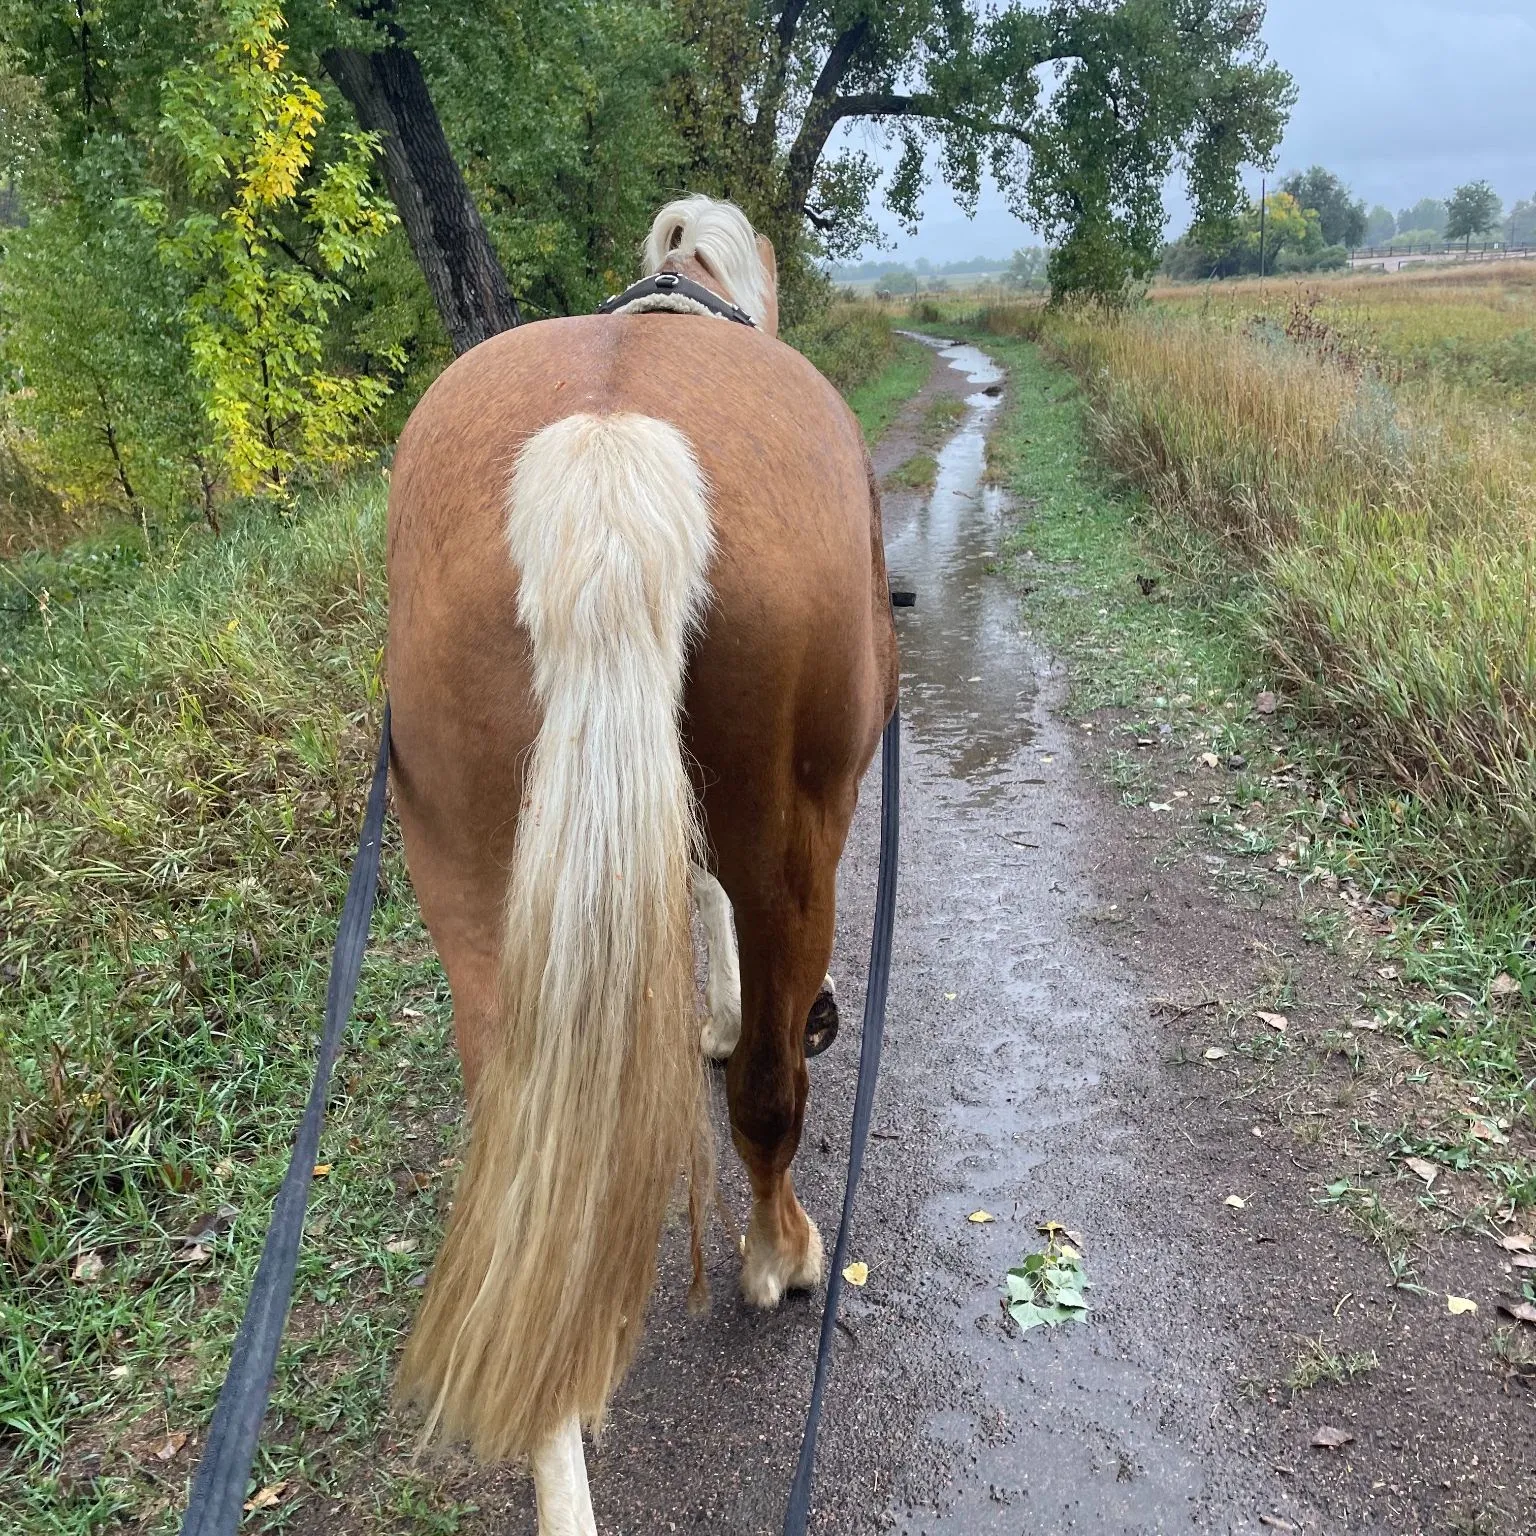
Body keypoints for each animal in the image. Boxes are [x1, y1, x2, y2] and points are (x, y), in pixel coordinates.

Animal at [385, 194, 897, 1531]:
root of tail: (605, 445)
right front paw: (720, 1020)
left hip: (472, 880)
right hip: (797, 840)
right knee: (769, 1090)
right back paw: (783, 1258)